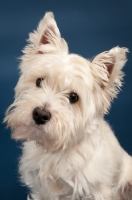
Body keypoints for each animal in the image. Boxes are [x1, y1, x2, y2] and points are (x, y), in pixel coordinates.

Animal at [4, 12, 132, 200]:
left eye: (73, 97)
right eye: (39, 81)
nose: (40, 114)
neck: (58, 149)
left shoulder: (97, 191)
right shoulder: (41, 190)